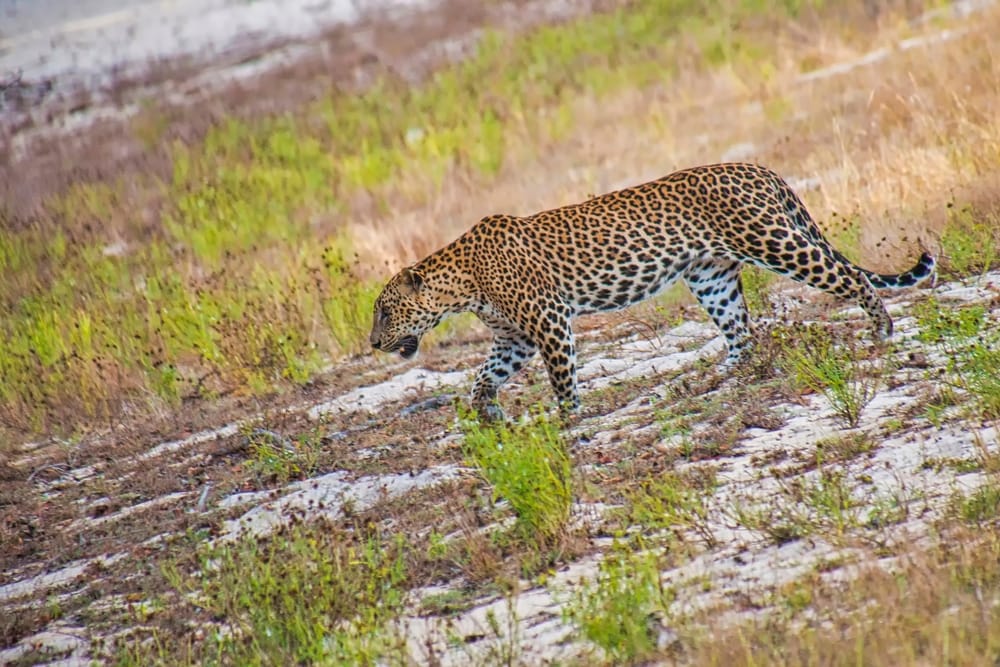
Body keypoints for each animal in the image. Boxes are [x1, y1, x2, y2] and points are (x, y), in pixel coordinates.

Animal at [369, 162, 935, 420]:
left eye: (385, 312)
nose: (373, 343)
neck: (463, 284)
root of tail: (760, 169)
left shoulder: (548, 321)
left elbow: (561, 377)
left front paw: (569, 420)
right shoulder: (514, 338)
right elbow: (483, 378)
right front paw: (488, 414)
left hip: (777, 244)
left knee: (853, 279)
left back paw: (882, 330)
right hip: (710, 277)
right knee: (742, 335)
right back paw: (711, 377)